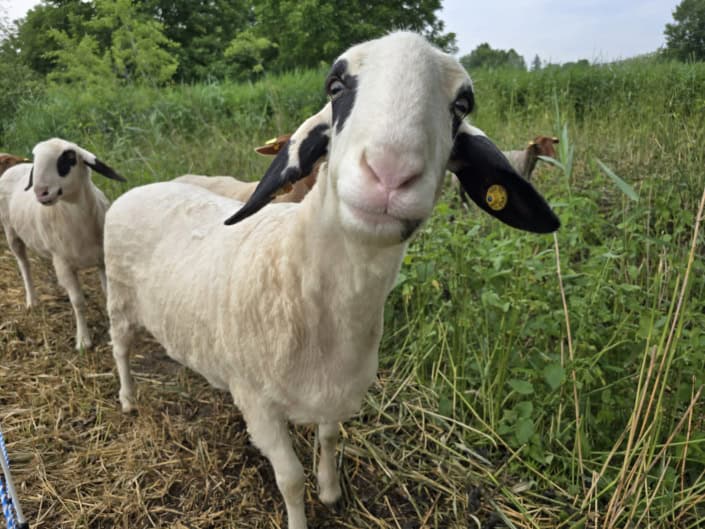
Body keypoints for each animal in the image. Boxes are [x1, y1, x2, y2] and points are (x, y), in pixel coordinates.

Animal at [0, 138, 125, 349]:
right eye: (36, 160)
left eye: (69, 158)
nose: (40, 192)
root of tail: (14, 167)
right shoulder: (63, 263)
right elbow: (77, 301)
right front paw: (83, 341)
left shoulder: (102, 260)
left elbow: (108, 297)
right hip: (11, 232)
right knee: (24, 264)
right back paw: (32, 301)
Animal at [104, 32, 559, 529]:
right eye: (336, 86)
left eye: (462, 103)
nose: (390, 173)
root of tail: (139, 188)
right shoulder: (260, 406)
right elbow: (289, 479)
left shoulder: (334, 394)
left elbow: (330, 441)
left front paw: (331, 492)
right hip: (118, 299)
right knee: (120, 349)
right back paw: (127, 399)